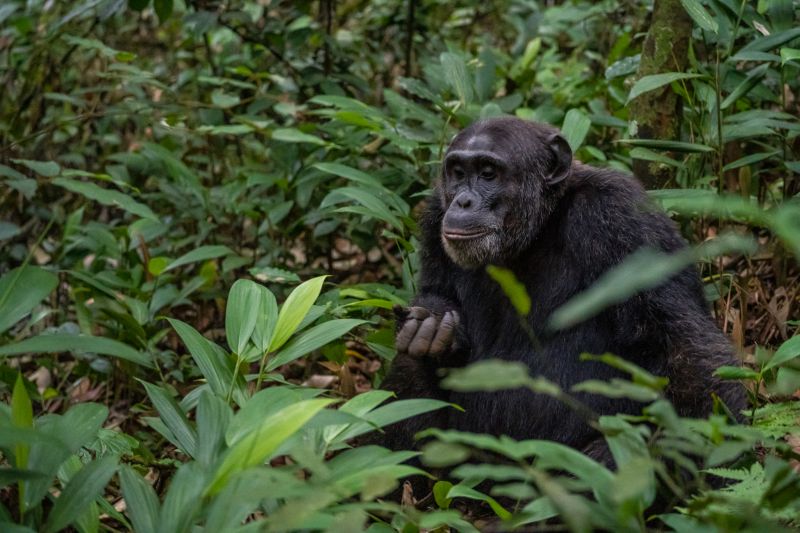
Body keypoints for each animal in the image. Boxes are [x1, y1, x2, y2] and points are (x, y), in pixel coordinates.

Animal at [382, 118, 744, 460]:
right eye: (458, 173)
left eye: (488, 174)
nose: (463, 201)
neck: (539, 226)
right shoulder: (434, 216)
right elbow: (437, 297)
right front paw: (432, 324)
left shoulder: (625, 221)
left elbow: (683, 350)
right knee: (409, 364)